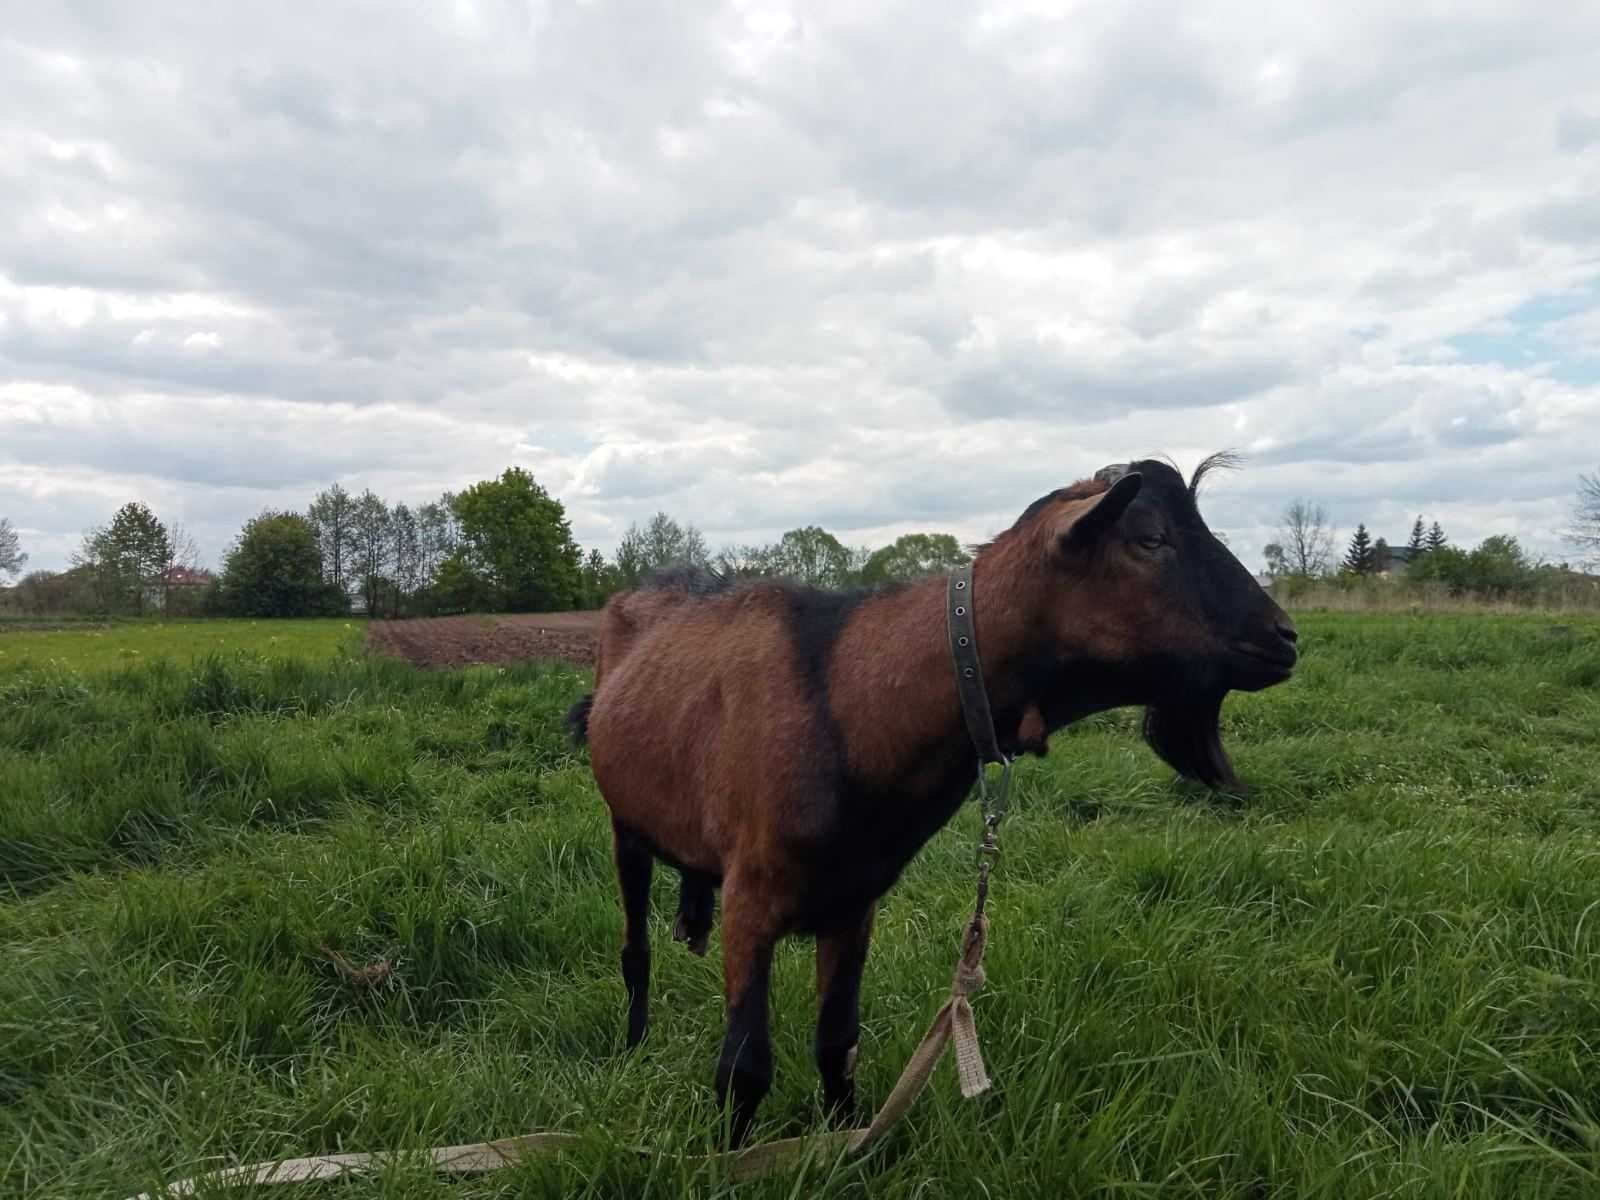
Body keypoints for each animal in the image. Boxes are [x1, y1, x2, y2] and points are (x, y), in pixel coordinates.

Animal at [569, 457, 1292, 1145]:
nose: (1284, 637)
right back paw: (633, 1047)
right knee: (635, 950)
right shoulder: (753, 898)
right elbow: (744, 1068)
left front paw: (845, 1151)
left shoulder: (853, 902)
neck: (847, 696)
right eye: (1151, 538)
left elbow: (839, 1045)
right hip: (622, 822)